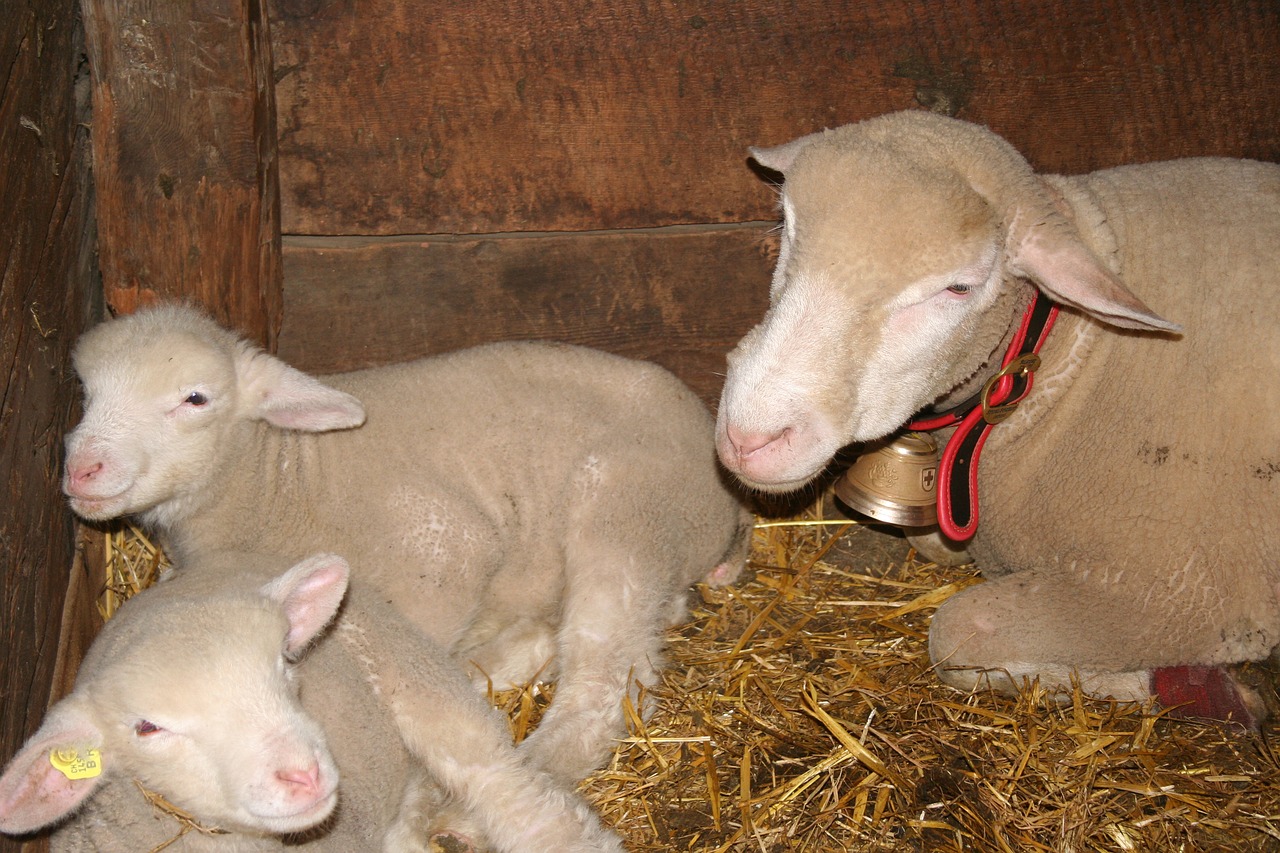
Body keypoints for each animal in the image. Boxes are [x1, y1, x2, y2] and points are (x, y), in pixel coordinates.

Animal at [60, 303, 752, 783]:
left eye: (195, 398)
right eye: (87, 393)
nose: (81, 471)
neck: (280, 475)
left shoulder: (442, 549)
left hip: (626, 504)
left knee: (605, 683)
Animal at [716, 109, 1280, 722]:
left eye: (960, 287)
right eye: (788, 228)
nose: (750, 438)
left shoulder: (1177, 594)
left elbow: (960, 632)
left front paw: (1163, 686)